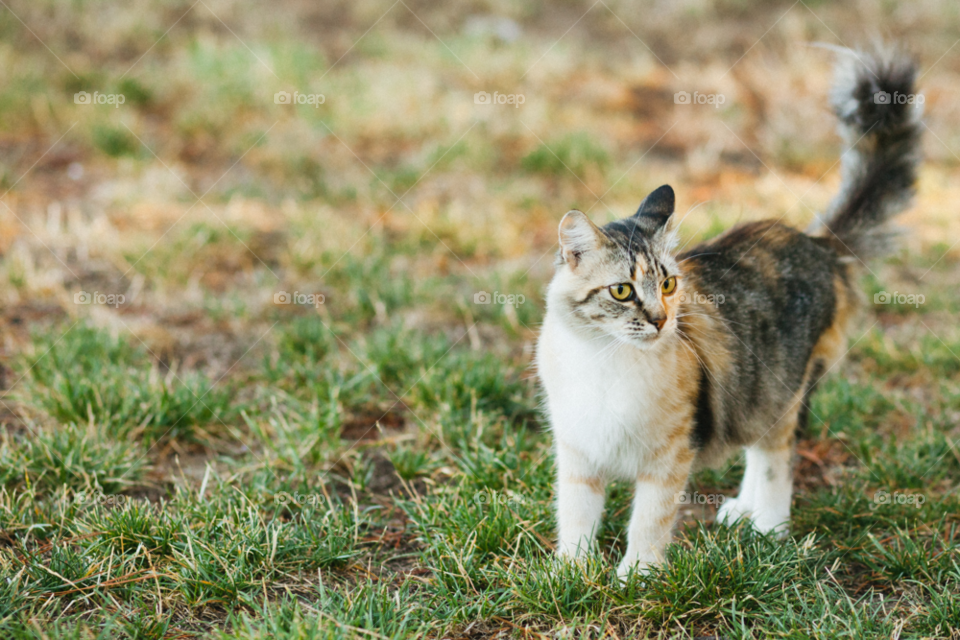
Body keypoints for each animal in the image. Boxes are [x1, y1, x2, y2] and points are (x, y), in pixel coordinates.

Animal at [536, 50, 928, 580]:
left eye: (667, 285)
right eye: (621, 291)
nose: (660, 320)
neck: (605, 360)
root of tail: (814, 242)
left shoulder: (669, 455)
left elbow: (649, 521)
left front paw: (637, 576)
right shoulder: (578, 452)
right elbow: (576, 518)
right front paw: (570, 574)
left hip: (780, 390)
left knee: (775, 459)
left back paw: (768, 529)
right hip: (755, 389)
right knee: (757, 449)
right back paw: (743, 510)